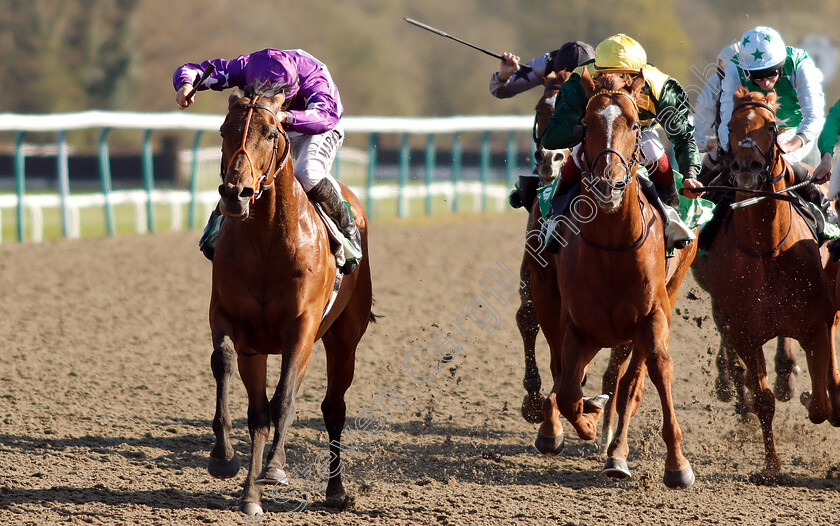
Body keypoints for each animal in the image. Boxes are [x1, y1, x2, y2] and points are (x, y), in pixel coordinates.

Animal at [205, 81, 372, 516]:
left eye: (269, 133)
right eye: (224, 131)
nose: (236, 194)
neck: (267, 241)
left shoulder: (302, 329)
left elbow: (285, 400)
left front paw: (276, 468)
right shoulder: (229, 320)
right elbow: (224, 364)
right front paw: (223, 457)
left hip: (343, 338)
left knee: (332, 408)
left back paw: (335, 491)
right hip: (258, 350)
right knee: (258, 414)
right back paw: (250, 496)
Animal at [524, 70, 696, 490]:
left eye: (634, 124)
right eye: (586, 124)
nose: (609, 185)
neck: (612, 247)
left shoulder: (652, 317)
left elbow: (651, 377)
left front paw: (676, 463)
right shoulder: (576, 324)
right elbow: (568, 389)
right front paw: (583, 419)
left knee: (629, 384)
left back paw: (616, 452)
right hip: (546, 294)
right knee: (560, 371)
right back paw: (561, 425)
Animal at [696, 86, 840, 474]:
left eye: (772, 125)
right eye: (730, 124)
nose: (746, 168)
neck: (766, 250)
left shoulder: (815, 326)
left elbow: (820, 405)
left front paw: (810, 395)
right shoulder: (745, 332)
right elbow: (763, 400)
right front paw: (772, 466)